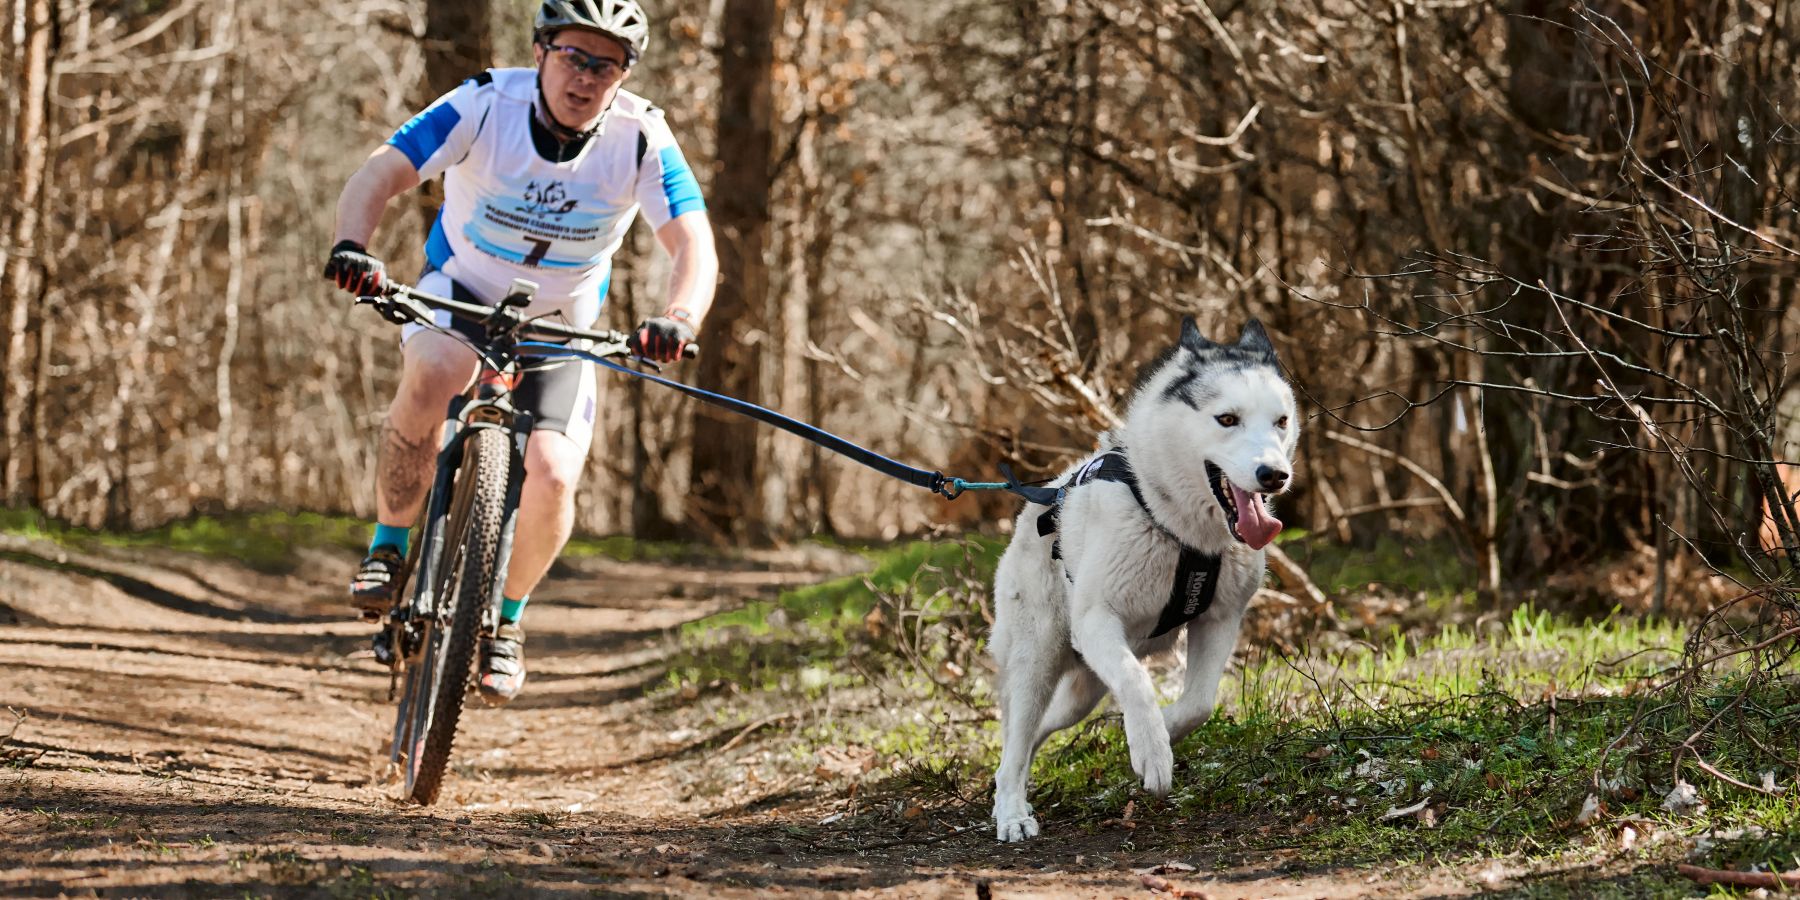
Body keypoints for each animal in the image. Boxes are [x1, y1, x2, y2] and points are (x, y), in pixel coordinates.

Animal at [993, 315, 1303, 835]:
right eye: (1227, 419)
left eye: (1281, 421)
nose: (1274, 475)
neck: (1180, 530)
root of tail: (1038, 502)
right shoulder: (1097, 621)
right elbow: (1137, 683)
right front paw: (1152, 751)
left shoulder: (1220, 620)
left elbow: (1198, 704)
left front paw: (1163, 728)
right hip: (1037, 660)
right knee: (1016, 740)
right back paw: (1012, 813)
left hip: (1081, 693)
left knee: (1033, 735)